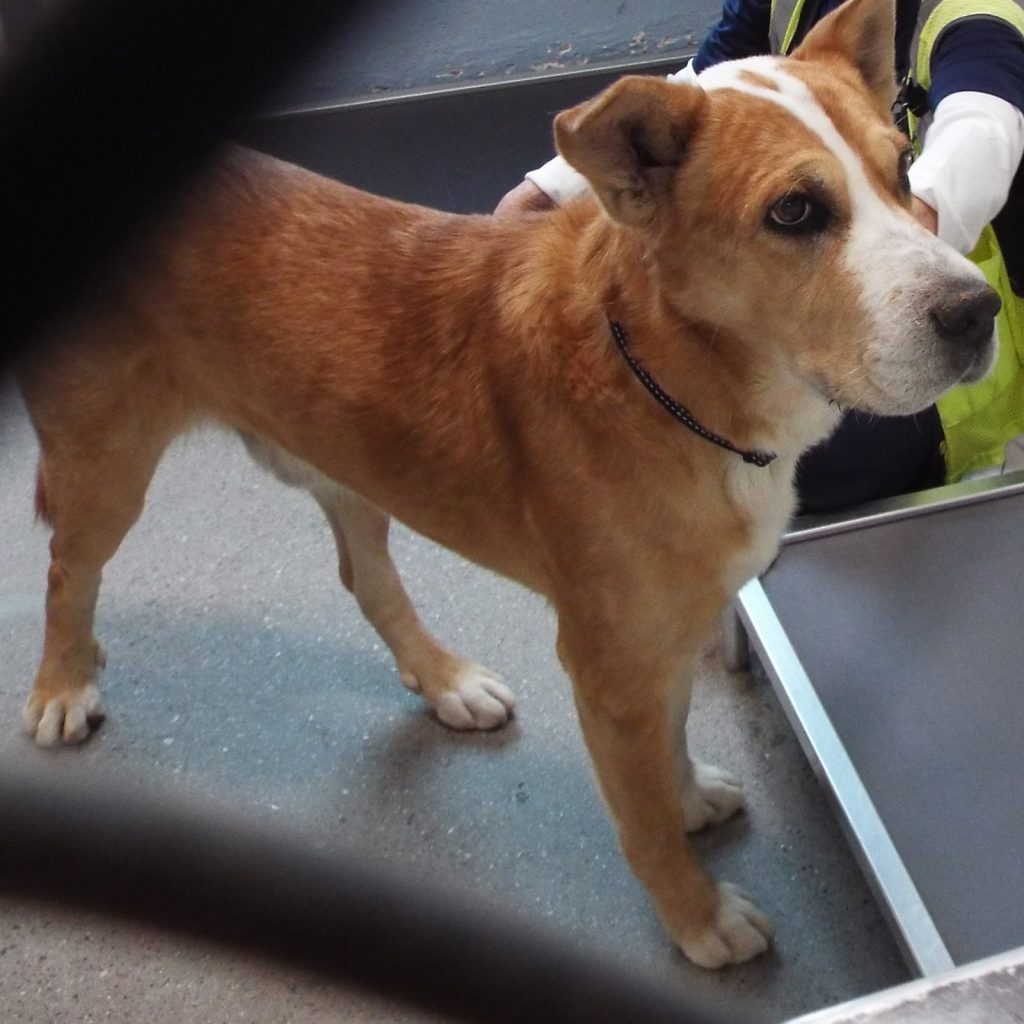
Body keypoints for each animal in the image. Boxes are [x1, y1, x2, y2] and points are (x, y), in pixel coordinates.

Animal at [14, 0, 997, 968]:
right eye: (794, 211)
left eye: (903, 167)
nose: (977, 311)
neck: (667, 376)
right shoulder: (608, 664)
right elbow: (641, 818)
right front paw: (695, 915)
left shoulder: (666, 633)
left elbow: (672, 738)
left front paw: (683, 797)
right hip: (107, 465)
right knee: (68, 572)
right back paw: (61, 686)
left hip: (349, 466)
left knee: (365, 579)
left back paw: (446, 681)